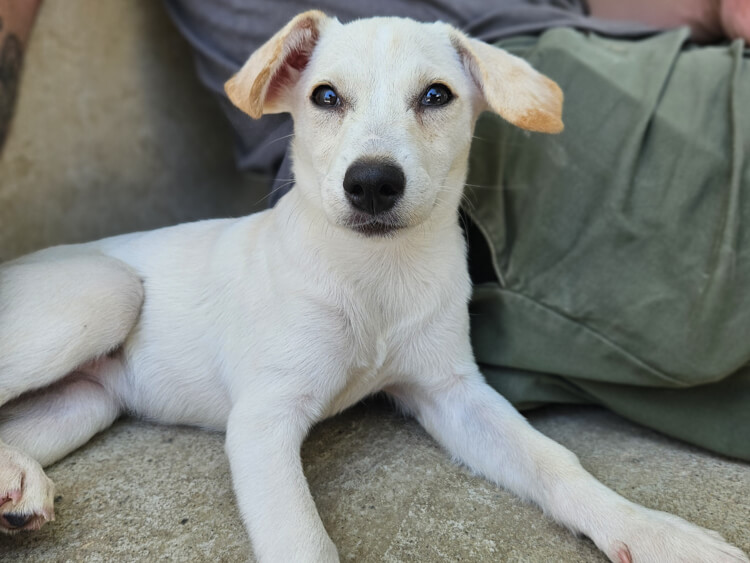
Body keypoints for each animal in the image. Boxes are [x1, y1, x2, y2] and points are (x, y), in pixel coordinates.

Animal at [0, 9, 748, 563]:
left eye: (436, 95)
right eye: (325, 96)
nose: (372, 183)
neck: (376, 276)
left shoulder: (453, 392)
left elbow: (556, 460)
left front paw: (654, 532)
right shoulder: (262, 420)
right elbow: (301, 541)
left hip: (85, 401)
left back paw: (16, 480)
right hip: (104, 294)